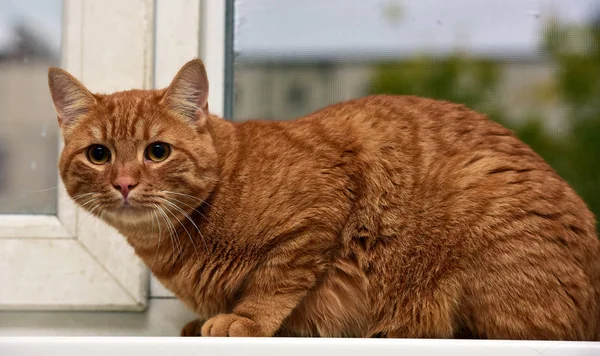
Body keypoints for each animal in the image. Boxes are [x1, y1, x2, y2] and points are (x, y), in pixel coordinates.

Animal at [48, 58, 600, 340]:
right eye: (99, 154)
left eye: (157, 151)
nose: (123, 183)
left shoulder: (317, 216)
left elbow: (274, 282)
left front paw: (244, 319)